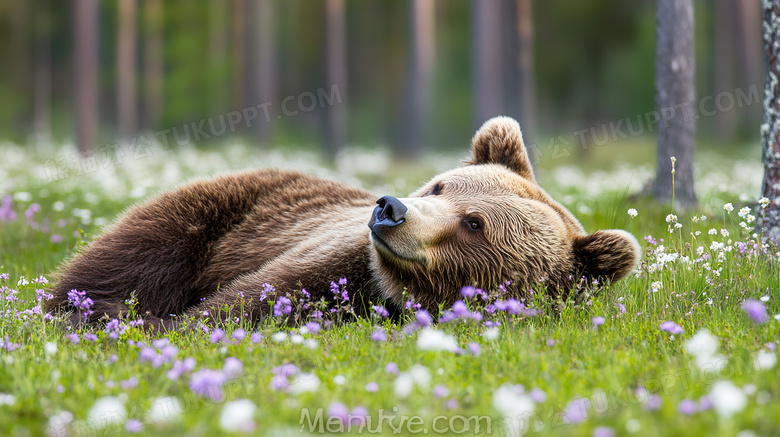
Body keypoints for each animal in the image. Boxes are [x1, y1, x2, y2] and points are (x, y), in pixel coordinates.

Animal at [48, 116, 644, 324]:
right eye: (440, 186)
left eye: (474, 223)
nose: (390, 209)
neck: (389, 293)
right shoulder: (333, 257)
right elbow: (248, 299)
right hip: (219, 211)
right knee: (129, 260)